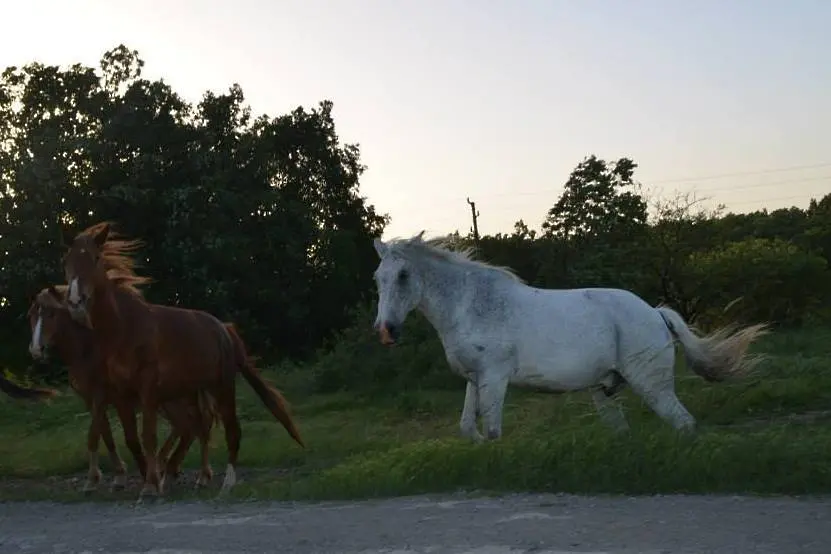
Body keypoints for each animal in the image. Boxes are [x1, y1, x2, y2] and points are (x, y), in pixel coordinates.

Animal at [28, 282, 219, 490]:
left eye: (52, 313)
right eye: (32, 314)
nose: (36, 350)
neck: (89, 350)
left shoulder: (116, 398)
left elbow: (121, 437)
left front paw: (140, 474)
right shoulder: (93, 400)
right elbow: (105, 435)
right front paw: (117, 476)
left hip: (180, 397)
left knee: (196, 425)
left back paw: (192, 473)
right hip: (171, 399)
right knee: (186, 427)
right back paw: (168, 467)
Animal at [61, 221, 304, 500]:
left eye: (96, 258)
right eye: (67, 260)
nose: (75, 301)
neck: (126, 329)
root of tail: (225, 329)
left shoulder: (147, 389)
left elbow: (149, 436)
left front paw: (150, 487)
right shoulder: (120, 394)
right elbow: (131, 439)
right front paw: (151, 481)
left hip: (221, 387)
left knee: (230, 430)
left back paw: (226, 484)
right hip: (190, 392)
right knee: (198, 428)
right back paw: (193, 478)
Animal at [374, 231, 772, 438]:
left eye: (404, 276)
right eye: (378, 278)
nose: (386, 331)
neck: (472, 305)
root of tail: (656, 313)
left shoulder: (495, 377)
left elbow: (493, 431)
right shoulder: (475, 379)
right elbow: (468, 429)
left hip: (652, 384)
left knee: (683, 423)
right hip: (606, 390)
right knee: (624, 431)